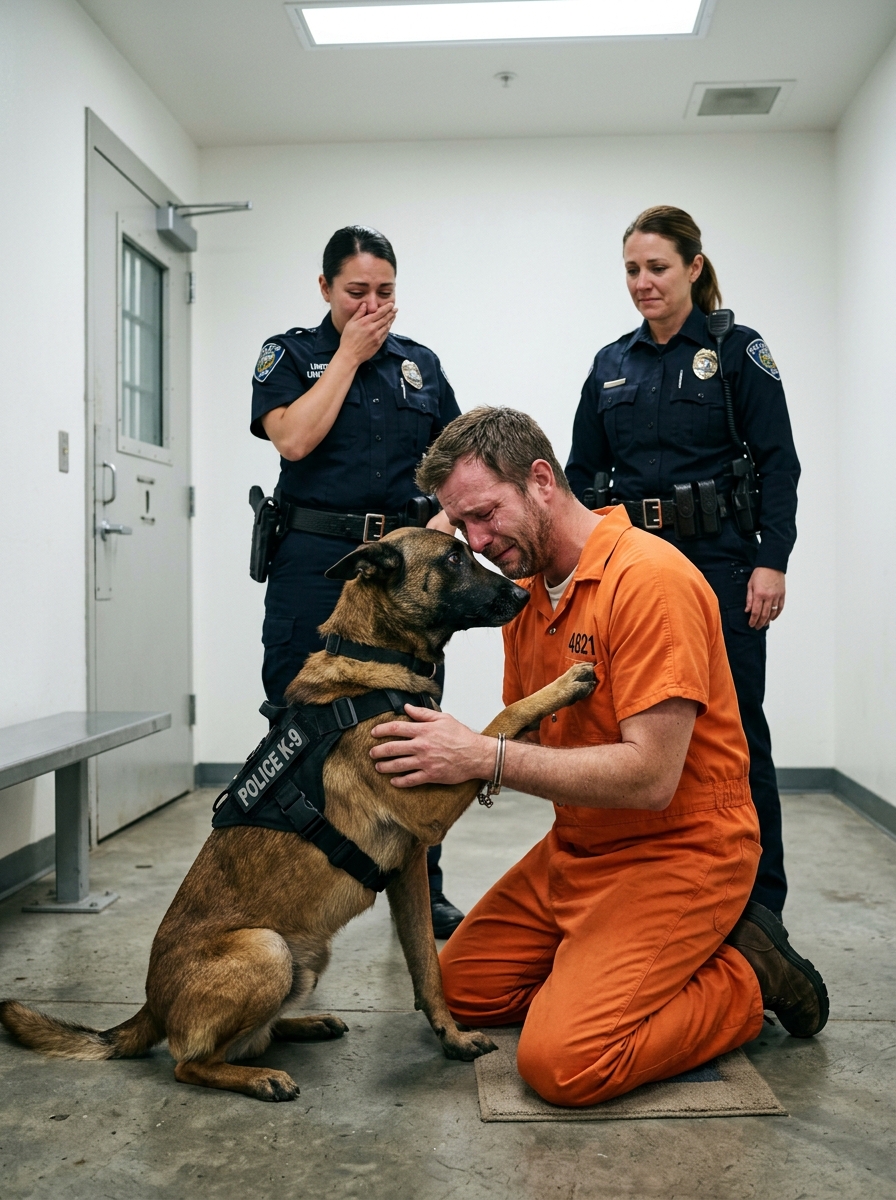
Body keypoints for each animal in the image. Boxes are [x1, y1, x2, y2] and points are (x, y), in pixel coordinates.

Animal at [1, 528, 595, 1101]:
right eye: (453, 559)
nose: (522, 594)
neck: (374, 660)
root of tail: (151, 1005)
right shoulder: (430, 806)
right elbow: (499, 720)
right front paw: (561, 686)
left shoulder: (409, 872)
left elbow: (427, 966)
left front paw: (449, 1036)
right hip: (267, 949)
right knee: (189, 1063)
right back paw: (258, 1079)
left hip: (302, 962)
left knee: (250, 1037)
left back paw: (305, 1025)